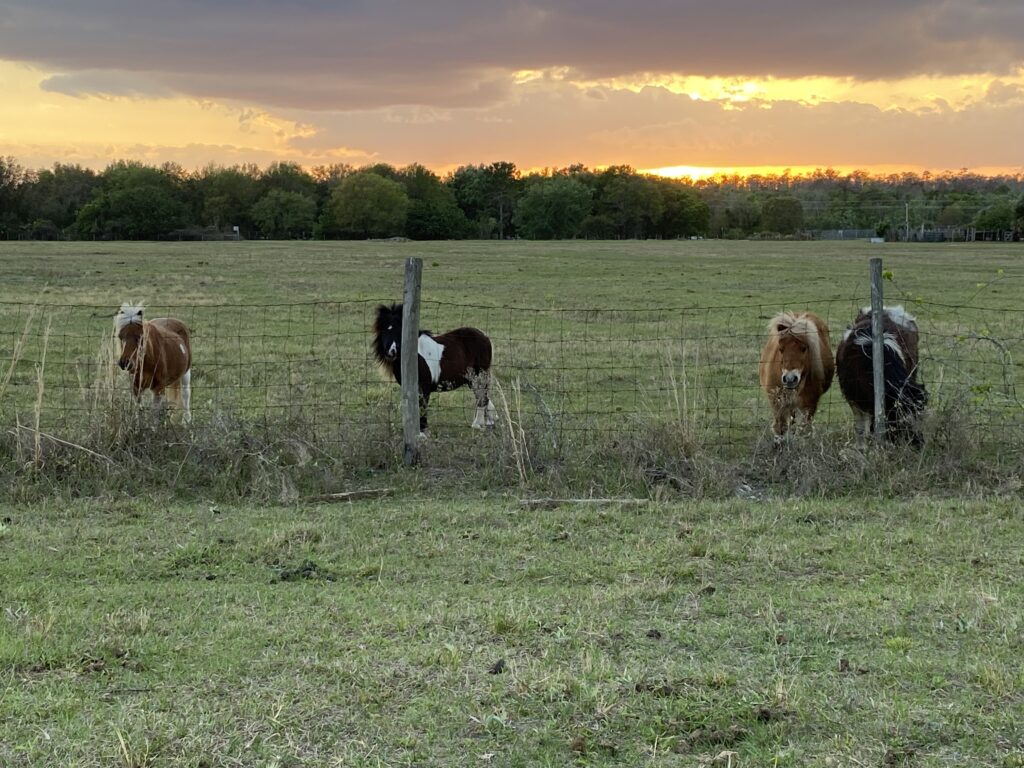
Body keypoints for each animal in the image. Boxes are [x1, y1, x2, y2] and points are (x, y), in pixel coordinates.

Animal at [372, 303, 496, 434]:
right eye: (383, 329)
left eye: (400, 330)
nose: (391, 351)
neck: (415, 355)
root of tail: (485, 336)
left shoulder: (424, 387)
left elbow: (422, 407)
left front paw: (422, 432)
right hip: (472, 379)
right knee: (483, 397)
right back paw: (488, 422)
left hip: (479, 376)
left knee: (482, 397)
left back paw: (477, 424)